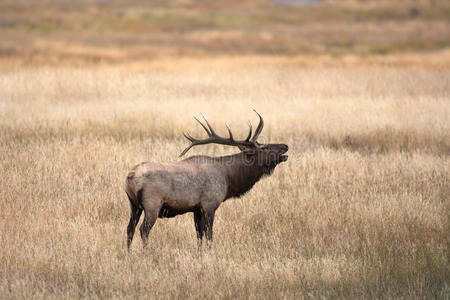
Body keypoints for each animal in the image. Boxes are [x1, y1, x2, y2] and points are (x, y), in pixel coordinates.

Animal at [125, 111, 288, 250]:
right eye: (265, 148)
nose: (285, 146)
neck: (229, 178)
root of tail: (130, 178)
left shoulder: (197, 208)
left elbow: (199, 235)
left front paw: (200, 254)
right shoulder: (210, 204)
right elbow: (209, 235)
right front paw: (209, 253)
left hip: (134, 205)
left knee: (129, 228)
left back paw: (129, 253)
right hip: (152, 205)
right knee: (143, 229)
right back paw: (146, 252)